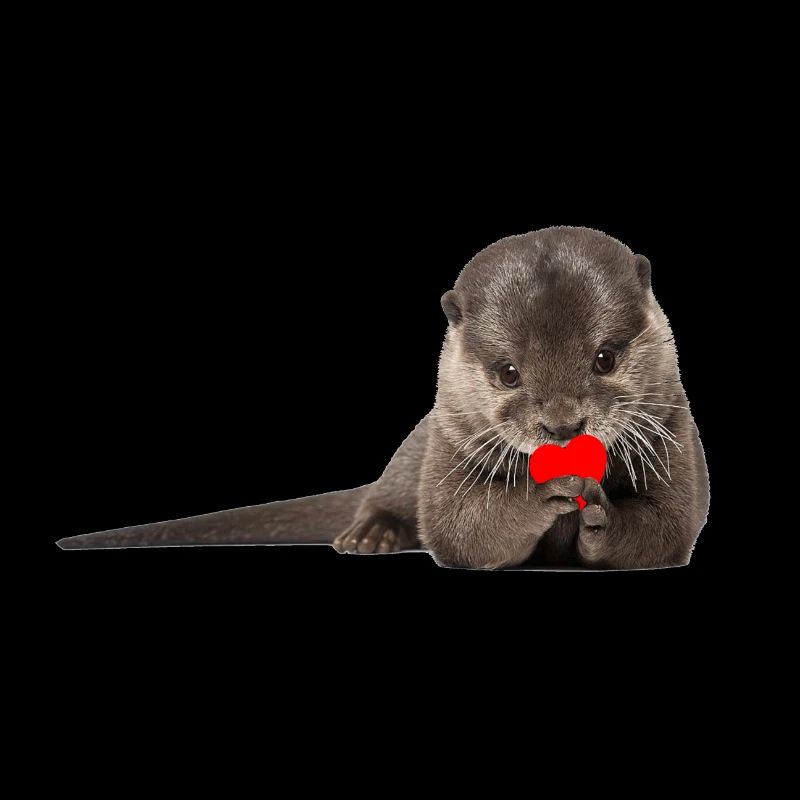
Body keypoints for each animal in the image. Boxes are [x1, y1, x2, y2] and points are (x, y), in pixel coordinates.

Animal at [57, 227, 709, 569]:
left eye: (605, 358)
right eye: (508, 372)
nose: (563, 425)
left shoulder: (673, 431)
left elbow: (666, 528)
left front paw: (602, 512)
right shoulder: (449, 443)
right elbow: (458, 528)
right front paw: (544, 489)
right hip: (413, 449)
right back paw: (368, 536)